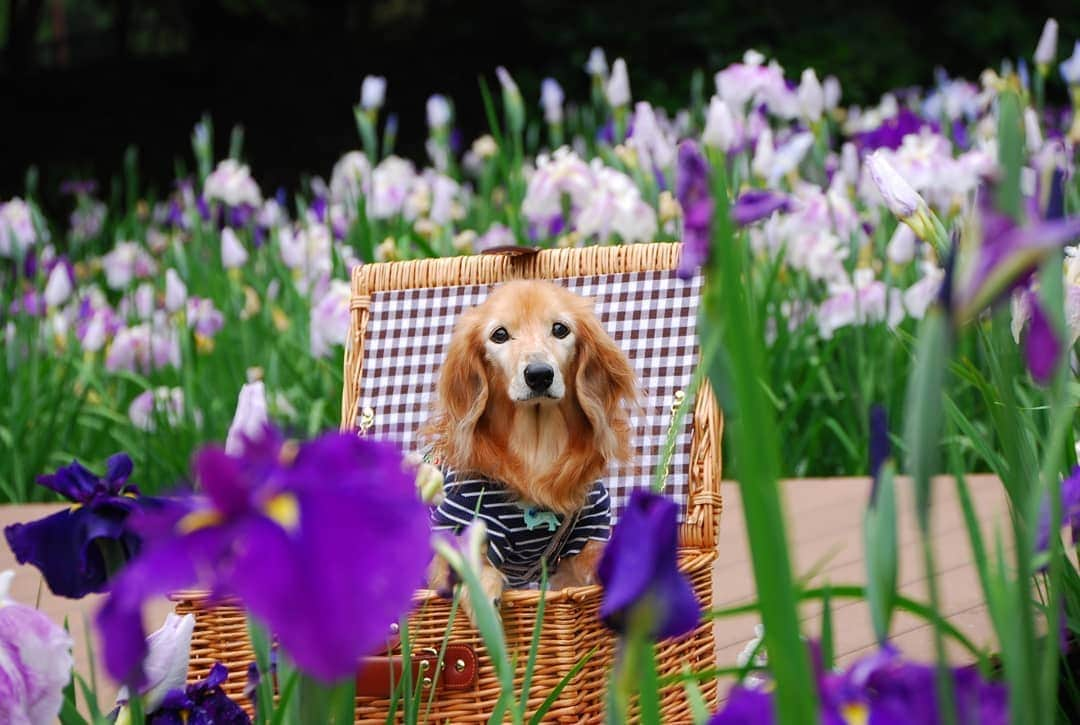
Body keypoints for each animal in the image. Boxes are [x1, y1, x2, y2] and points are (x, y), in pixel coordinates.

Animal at [421, 280, 639, 613]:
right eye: (499, 334)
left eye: (560, 329)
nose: (539, 375)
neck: (536, 451)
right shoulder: (458, 527)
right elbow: (473, 566)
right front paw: (485, 600)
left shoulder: (587, 532)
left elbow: (599, 557)